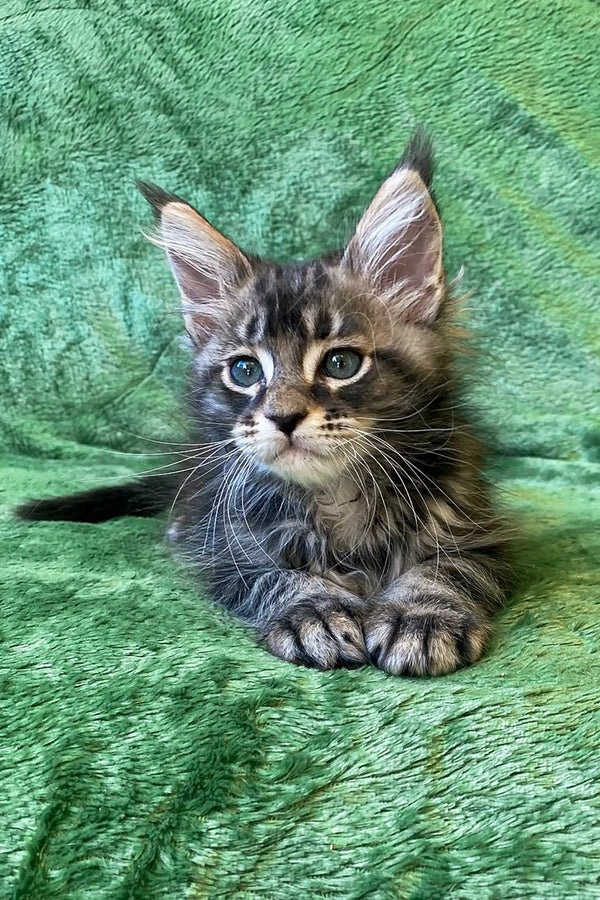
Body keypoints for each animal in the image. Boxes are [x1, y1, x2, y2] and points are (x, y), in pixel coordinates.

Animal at [16, 135, 510, 676]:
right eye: (245, 371)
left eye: (341, 363)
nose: (283, 417)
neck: (336, 495)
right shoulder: (223, 543)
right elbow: (268, 572)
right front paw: (313, 610)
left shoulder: (478, 528)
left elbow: (447, 567)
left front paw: (418, 614)